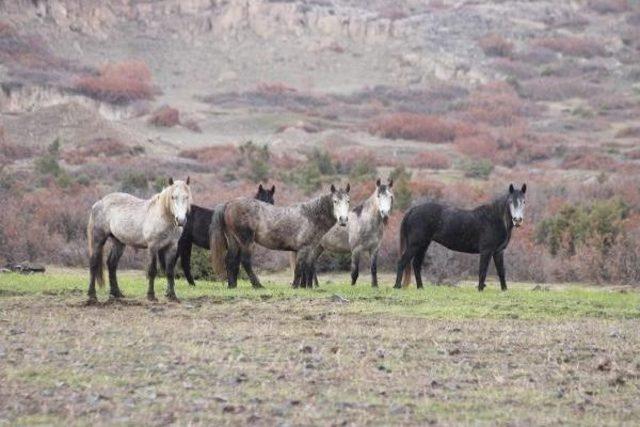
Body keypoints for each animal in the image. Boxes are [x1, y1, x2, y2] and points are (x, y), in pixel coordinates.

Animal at [210, 182, 350, 290]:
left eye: (348, 201)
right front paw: (296, 287)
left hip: (234, 241)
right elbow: (299, 268)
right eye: (335, 201)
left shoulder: (309, 249)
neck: (310, 215)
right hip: (246, 241)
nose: (343, 220)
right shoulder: (303, 248)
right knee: (245, 261)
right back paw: (258, 285)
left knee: (230, 260)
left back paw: (232, 285)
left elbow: (305, 267)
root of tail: (229, 204)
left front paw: (304, 287)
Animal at [392, 183, 528, 290]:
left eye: (524, 202)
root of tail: (412, 210)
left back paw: (420, 287)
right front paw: (480, 289)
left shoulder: (498, 252)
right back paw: (397, 286)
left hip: (423, 245)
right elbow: (482, 271)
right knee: (402, 262)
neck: (495, 219)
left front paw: (504, 290)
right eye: (510, 202)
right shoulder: (486, 251)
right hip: (415, 244)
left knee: (416, 264)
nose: (517, 220)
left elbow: (501, 272)